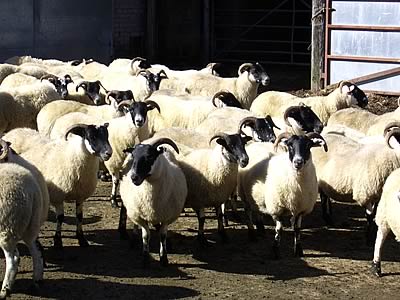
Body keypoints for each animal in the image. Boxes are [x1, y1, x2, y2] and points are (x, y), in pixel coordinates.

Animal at [0, 140, 49, 298]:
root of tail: (32, 190)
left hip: (7, 228)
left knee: (13, 258)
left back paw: (5, 290)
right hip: (31, 226)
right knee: (36, 251)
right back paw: (36, 282)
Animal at [116, 137, 187, 266]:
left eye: (149, 156)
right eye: (133, 156)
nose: (134, 177)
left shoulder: (167, 217)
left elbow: (162, 236)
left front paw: (164, 258)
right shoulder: (140, 216)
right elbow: (146, 236)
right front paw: (145, 258)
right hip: (134, 210)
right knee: (135, 224)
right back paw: (133, 239)